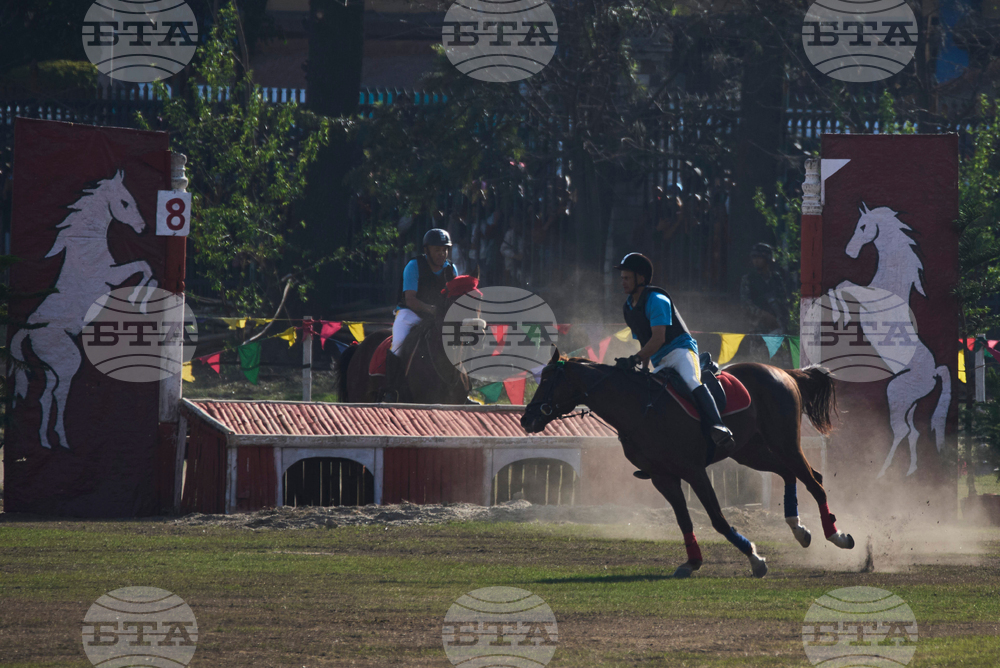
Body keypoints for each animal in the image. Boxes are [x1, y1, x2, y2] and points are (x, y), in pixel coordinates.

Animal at [10, 170, 156, 449]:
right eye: (124, 203)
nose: (142, 228)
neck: (87, 248)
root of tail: (28, 331)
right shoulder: (110, 277)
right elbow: (144, 266)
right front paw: (138, 300)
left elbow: (146, 268)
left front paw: (140, 300)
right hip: (68, 361)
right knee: (58, 393)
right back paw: (62, 441)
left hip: (53, 366)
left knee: (46, 395)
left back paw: (48, 442)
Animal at [521, 350, 856, 578]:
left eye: (549, 380)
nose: (527, 419)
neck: (639, 407)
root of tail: (784, 372)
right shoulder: (663, 477)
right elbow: (684, 521)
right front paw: (693, 561)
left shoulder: (693, 472)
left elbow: (718, 519)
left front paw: (754, 558)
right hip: (751, 452)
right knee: (791, 474)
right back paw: (799, 529)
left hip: (784, 443)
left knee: (814, 481)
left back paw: (837, 536)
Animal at [827, 203, 951, 478]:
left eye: (863, 226)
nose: (849, 252)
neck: (892, 280)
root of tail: (934, 372)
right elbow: (840, 285)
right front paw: (841, 314)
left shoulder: (867, 299)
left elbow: (844, 285)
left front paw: (841, 315)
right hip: (909, 403)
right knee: (913, 432)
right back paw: (909, 471)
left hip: (895, 394)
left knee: (902, 431)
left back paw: (882, 473)